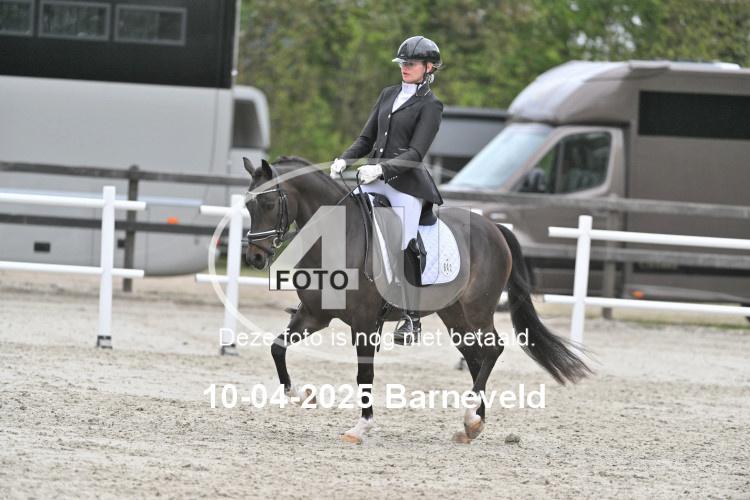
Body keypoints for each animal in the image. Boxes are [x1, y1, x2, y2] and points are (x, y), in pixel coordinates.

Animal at [241, 155, 590, 444]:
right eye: (248, 206)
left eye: (269, 202)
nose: (254, 258)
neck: (337, 238)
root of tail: (494, 227)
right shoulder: (315, 315)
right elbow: (277, 348)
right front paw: (302, 396)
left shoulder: (365, 322)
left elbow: (364, 374)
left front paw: (361, 427)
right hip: (454, 316)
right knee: (475, 357)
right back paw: (474, 424)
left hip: (477, 310)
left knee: (492, 350)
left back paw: (470, 417)